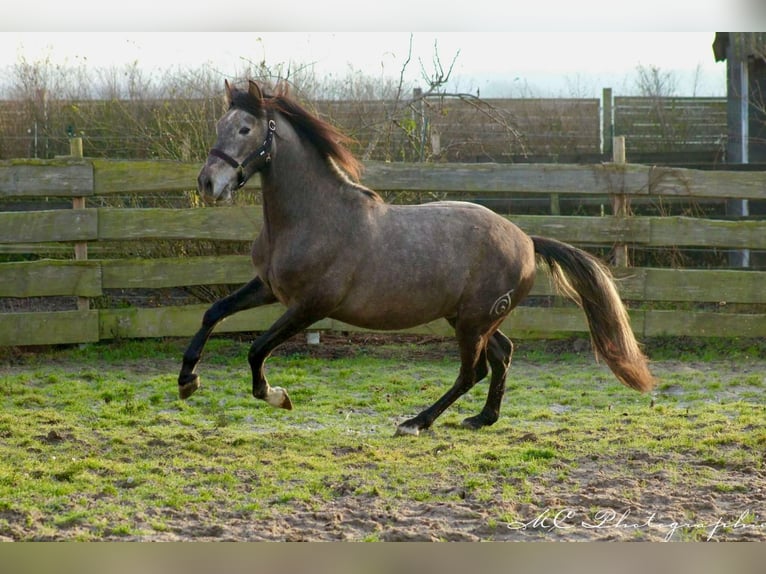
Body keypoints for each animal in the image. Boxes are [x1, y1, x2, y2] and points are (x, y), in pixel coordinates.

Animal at [177, 77, 656, 436]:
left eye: (245, 129)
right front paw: (187, 381)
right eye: (220, 124)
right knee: (502, 354)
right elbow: (213, 312)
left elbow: (257, 349)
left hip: (472, 321)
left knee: (472, 372)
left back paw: (416, 422)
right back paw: (482, 419)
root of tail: (525, 239)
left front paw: (276, 396)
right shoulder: (270, 289)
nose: (207, 183)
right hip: (470, 317)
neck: (313, 217)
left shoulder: (309, 306)